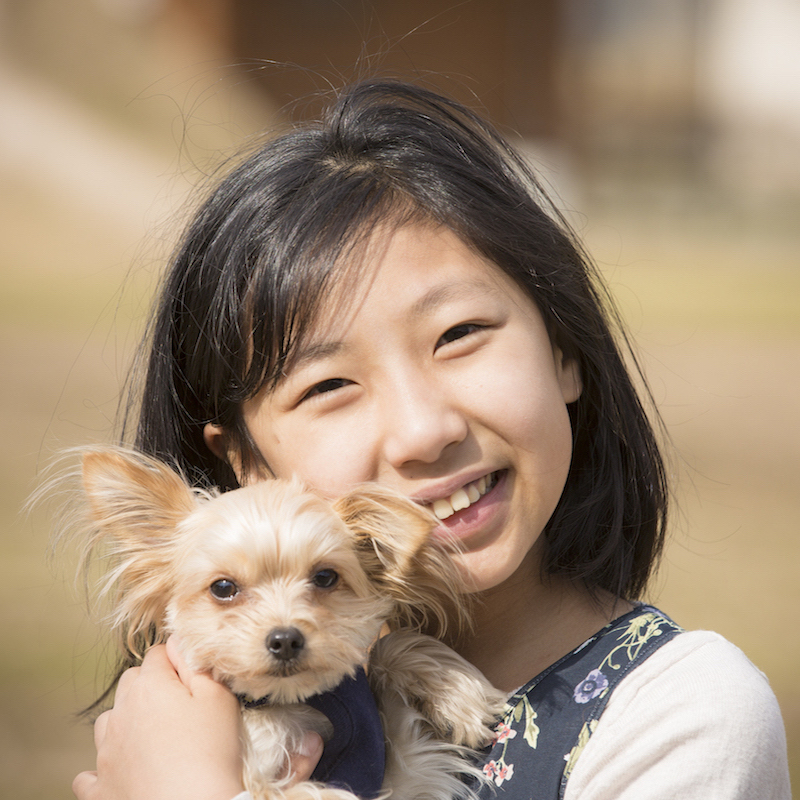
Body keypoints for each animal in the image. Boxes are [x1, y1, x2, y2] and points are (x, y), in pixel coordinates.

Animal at [75, 446, 500, 800]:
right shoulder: (275, 783)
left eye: (325, 577)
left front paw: (453, 692)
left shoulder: (391, 771)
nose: (285, 640)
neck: (283, 708)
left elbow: (388, 649)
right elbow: (319, 793)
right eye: (223, 587)